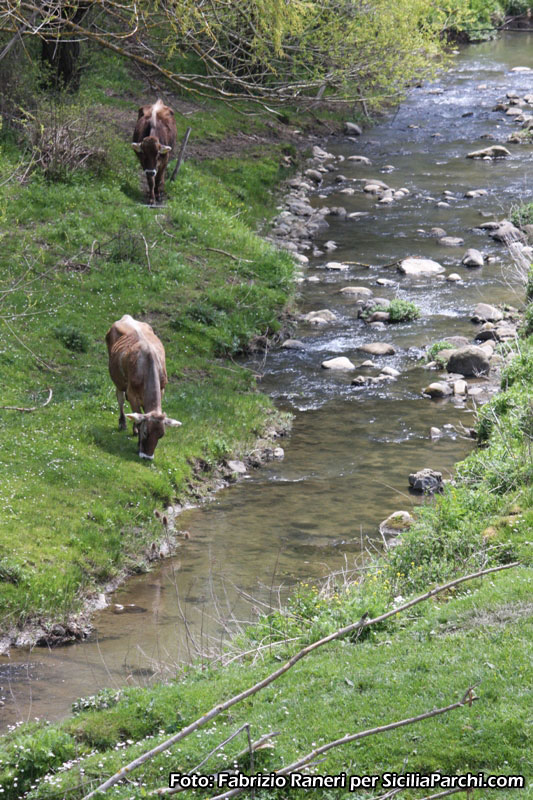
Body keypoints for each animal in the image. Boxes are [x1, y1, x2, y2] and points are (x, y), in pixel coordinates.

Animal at [105, 314, 182, 460]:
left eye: (161, 435)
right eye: (146, 432)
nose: (147, 457)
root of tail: (127, 317)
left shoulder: (162, 390)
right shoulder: (132, 393)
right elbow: (138, 416)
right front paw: (137, 436)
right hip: (118, 380)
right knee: (120, 398)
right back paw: (123, 422)